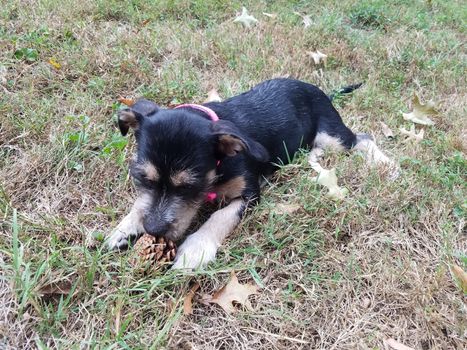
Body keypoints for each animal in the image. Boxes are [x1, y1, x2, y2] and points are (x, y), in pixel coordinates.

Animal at [107, 78, 394, 268]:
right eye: (142, 177)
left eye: (189, 186)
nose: (153, 229)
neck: (220, 164)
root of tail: (321, 91)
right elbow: (140, 203)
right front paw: (124, 228)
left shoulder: (250, 193)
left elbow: (220, 217)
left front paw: (195, 250)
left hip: (332, 134)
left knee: (362, 139)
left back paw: (387, 165)